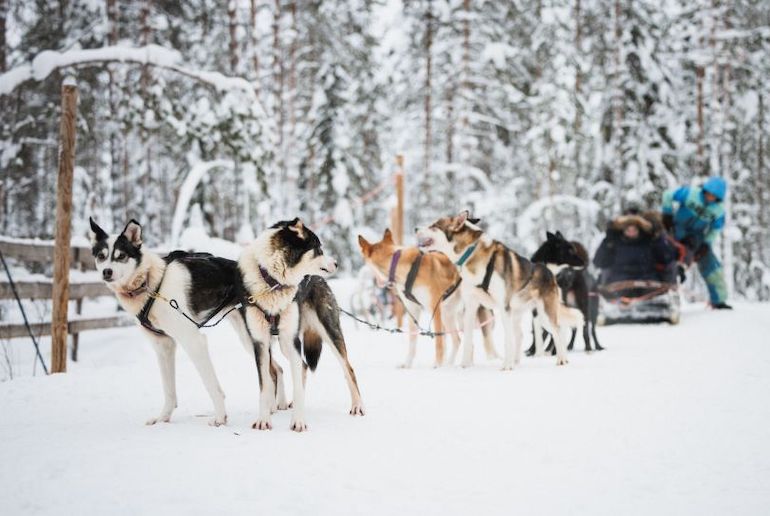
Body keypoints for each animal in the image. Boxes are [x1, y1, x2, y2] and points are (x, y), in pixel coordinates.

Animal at [90, 216, 364, 430]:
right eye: (102, 256)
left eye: (121, 256)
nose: (106, 272)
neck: (152, 282)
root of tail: (313, 278)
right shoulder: (164, 346)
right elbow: (169, 390)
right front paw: (162, 418)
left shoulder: (193, 340)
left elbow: (211, 384)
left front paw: (220, 418)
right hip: (254, 338)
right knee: (281, 370)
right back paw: (276, 406)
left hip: (319, 333)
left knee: (346, 369)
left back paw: (356, 406)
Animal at [356, 229, 496, 366]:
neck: (398, 265)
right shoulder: (413, 310)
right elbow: (412, 342)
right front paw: (407, 364)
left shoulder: (435, 308)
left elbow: (439, 343)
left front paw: (437, 366)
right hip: (449, 313)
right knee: (460, 341)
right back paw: (452, 364)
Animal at [416, 212, 580, 368]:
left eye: (433, 225)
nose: (415, 228)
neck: (470, 253)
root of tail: (548, 270)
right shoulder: (471, 306)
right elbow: (468, 339)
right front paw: (465, 365)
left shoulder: (503, 306)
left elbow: (508, 339)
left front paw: (506, 366)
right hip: (520, 314)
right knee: (521, 335)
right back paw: (516, 361)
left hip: (544, 315)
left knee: (558, 331)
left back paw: (561, 359)